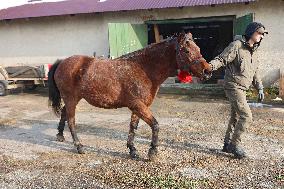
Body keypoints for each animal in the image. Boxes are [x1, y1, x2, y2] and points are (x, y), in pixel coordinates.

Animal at [48, 32, 211, 161]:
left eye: (198, 49)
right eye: (186, 51)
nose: (208, 70)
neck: (143, 69)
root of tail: (62, 62)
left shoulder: (138, 107)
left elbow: (133, 126)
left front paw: (132, 149)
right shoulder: (138, 105)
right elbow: (155, 125)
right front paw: (152, 152)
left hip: (73, 99)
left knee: (64, 113)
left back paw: (60, 135)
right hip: (71, 98)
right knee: (71, 121)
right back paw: (79, 146)